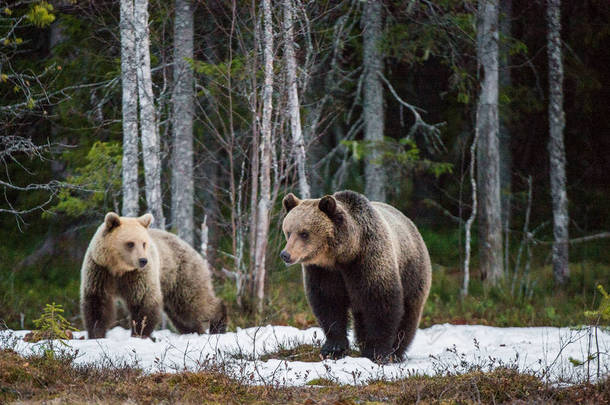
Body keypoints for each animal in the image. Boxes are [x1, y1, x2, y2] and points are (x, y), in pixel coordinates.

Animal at [78, 211, 226, 338]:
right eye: (130, 243)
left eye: (144, 243)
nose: (143, 260)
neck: (119, 269)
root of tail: (191, 247)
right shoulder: (100, 271)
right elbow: (97, 304)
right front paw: (96, 334)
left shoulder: (138, 275)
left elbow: (144, 301)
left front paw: (140, 334)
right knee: (181, 314)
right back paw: (194, 331)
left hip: (182, 273)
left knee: (194, 303)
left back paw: (218, 324)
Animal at [278, 191, 430, 362]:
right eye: (288, 231)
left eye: (304, 233)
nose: (285, 254)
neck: (344, 254)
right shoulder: (323, 271)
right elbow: (328, 303)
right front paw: (333, 349)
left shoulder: (368, 260)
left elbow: (380, 303)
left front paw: (377, 352)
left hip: (412, 270)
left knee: (409, 312)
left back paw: (397, 352)